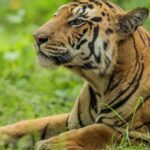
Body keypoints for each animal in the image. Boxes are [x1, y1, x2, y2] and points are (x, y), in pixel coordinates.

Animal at [0, 0, 150, 149]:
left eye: (77, 21)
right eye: (56, 15)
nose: (36, 37)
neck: (99, 85)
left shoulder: (137, 133)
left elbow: (95, 131)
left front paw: (52, 144)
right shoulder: (71, 120)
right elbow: (31, 124)